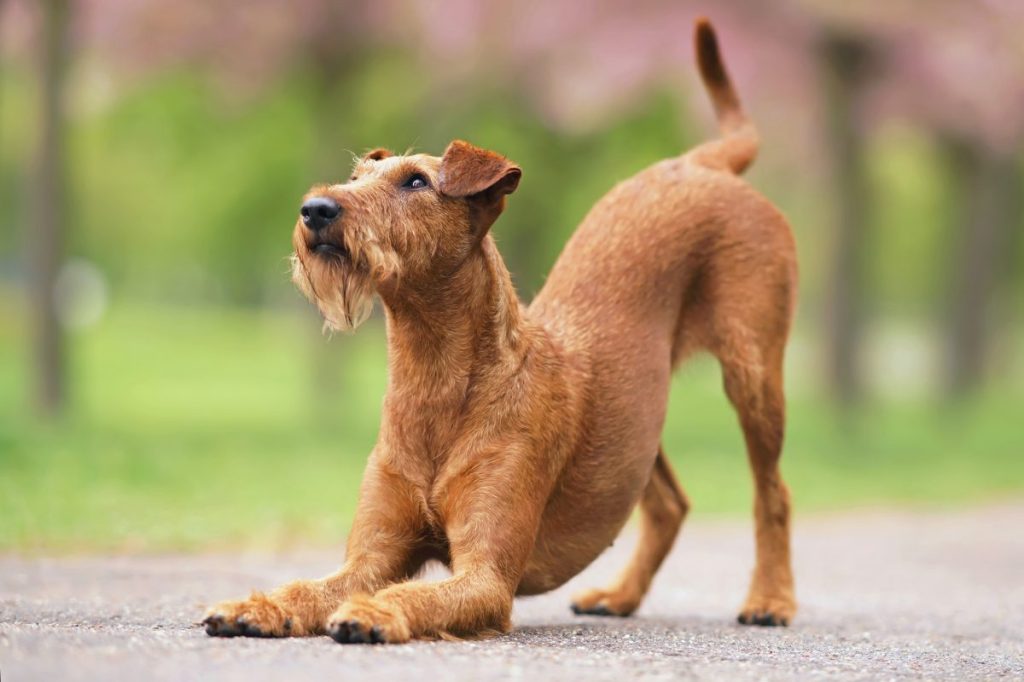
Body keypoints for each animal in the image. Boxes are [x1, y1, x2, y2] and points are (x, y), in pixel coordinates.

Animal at [203, 18, 798, 638]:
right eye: (356, 177)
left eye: (416, 182)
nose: (315, 208)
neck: (433, 378)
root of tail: (702, 163)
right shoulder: (371, 554)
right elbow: (307, 587)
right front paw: (256, 606)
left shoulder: (487, 577)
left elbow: (415, 595)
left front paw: (373, 611)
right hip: (637, 417)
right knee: (668, 503)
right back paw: (620, 594)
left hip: (753, 373)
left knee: (773, 494)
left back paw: (770, 600)